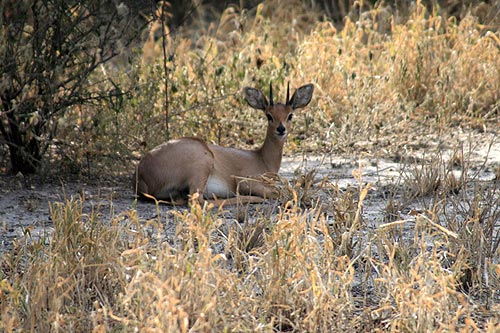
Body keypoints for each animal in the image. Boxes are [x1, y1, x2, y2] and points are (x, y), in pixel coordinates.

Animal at [133, 81, 312, 204]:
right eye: (269, 115)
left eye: (290, 115)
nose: (281, 129)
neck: (262, 159)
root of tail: (141, 173)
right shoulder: (245, 182)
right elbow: (278, 192)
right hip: (202, 163)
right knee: (198, 201)